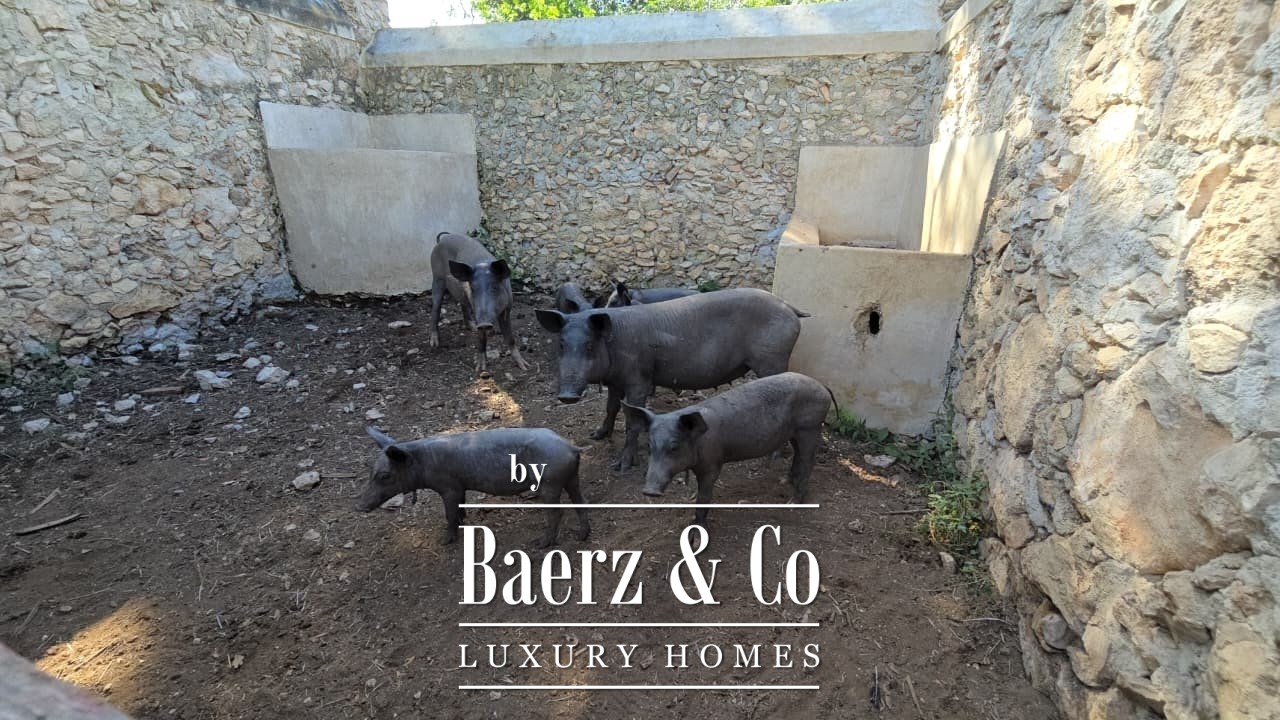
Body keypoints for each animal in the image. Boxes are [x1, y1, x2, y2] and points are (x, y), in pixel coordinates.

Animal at [358, 426, 590, 547]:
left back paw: (539, 543)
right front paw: (463, 522)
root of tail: (571, 447)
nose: (359, 507)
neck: (423, 462)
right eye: (370, 472)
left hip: (549, 483)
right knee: (580, 502)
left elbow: (450, 513)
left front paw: (445, 541)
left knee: (556, 512)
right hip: (570, 478)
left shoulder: (449, 487)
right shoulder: (460, 487)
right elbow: (460, 508)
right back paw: (582, 536)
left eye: (385, 476)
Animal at [429, 232, 528, 374]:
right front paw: (480, 369)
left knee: (463, 304)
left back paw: (470, 327)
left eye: (494, 287)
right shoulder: (477, 313)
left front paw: (525, 367)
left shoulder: (507, 309)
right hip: (437, 278)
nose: (484, 323)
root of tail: (441, 240)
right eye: (473, 288)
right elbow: (481, 339)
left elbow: (510, 338)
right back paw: (434, 344)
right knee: (435, 308)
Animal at [534, 287, 808, 470]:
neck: (615, 342)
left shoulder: (639, 379)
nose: (566, 395)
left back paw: (773, 459)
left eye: (589, 346)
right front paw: (597, 435)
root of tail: (789, 307)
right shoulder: (615, 381)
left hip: (771, 360)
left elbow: (632, 421)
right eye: (561, 345)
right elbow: (611, 408)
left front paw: (622, 467)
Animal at [624, 372, 834, 526]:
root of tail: (823, 386)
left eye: (674, 446)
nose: (649, 491)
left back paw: (791, 503)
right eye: (650, 446)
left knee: (808, 461)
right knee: (798, 456)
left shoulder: (712, 464)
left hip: (810, 427)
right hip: (795, 432)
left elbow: (704, 498)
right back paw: (784, 481)